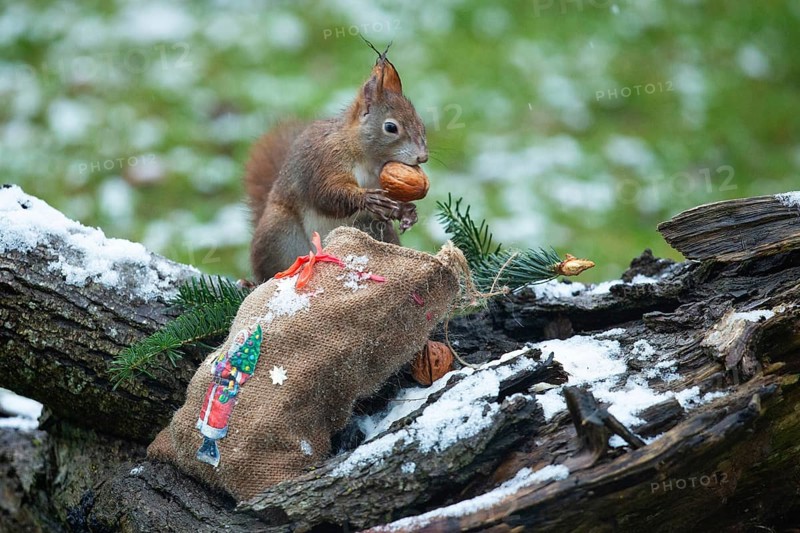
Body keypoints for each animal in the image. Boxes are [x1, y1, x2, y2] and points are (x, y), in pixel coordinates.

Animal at [244, 47, 428, 283]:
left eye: (421, 124)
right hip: (280, 235)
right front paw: (365, 198)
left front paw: (405, 212)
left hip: (369, 229)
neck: (369, 160)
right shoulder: (326, 160)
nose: (422, 157)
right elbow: (326, 194)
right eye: (390, 127)